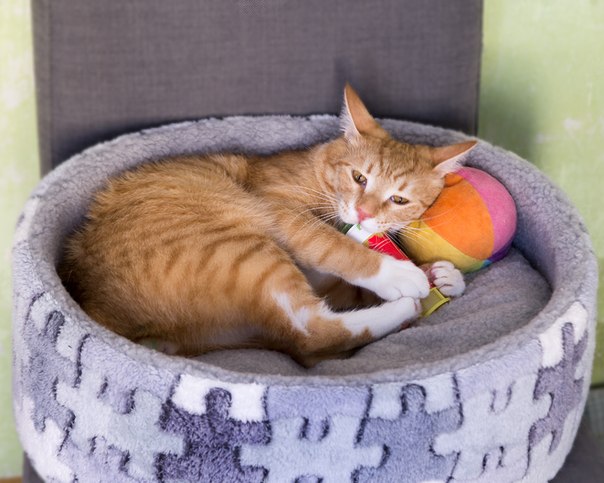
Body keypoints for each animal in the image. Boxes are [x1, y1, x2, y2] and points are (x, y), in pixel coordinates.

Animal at [59, 85, 474, 367]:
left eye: (399, 200)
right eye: (359, 178)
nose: (363, 214)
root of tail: (96, 300)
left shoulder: (331, 282)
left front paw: (439, 275)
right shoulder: (279, 209)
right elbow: (334, 247)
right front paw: (400, 273)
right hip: (242, 250)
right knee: (310, 333)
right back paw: (404, 306)